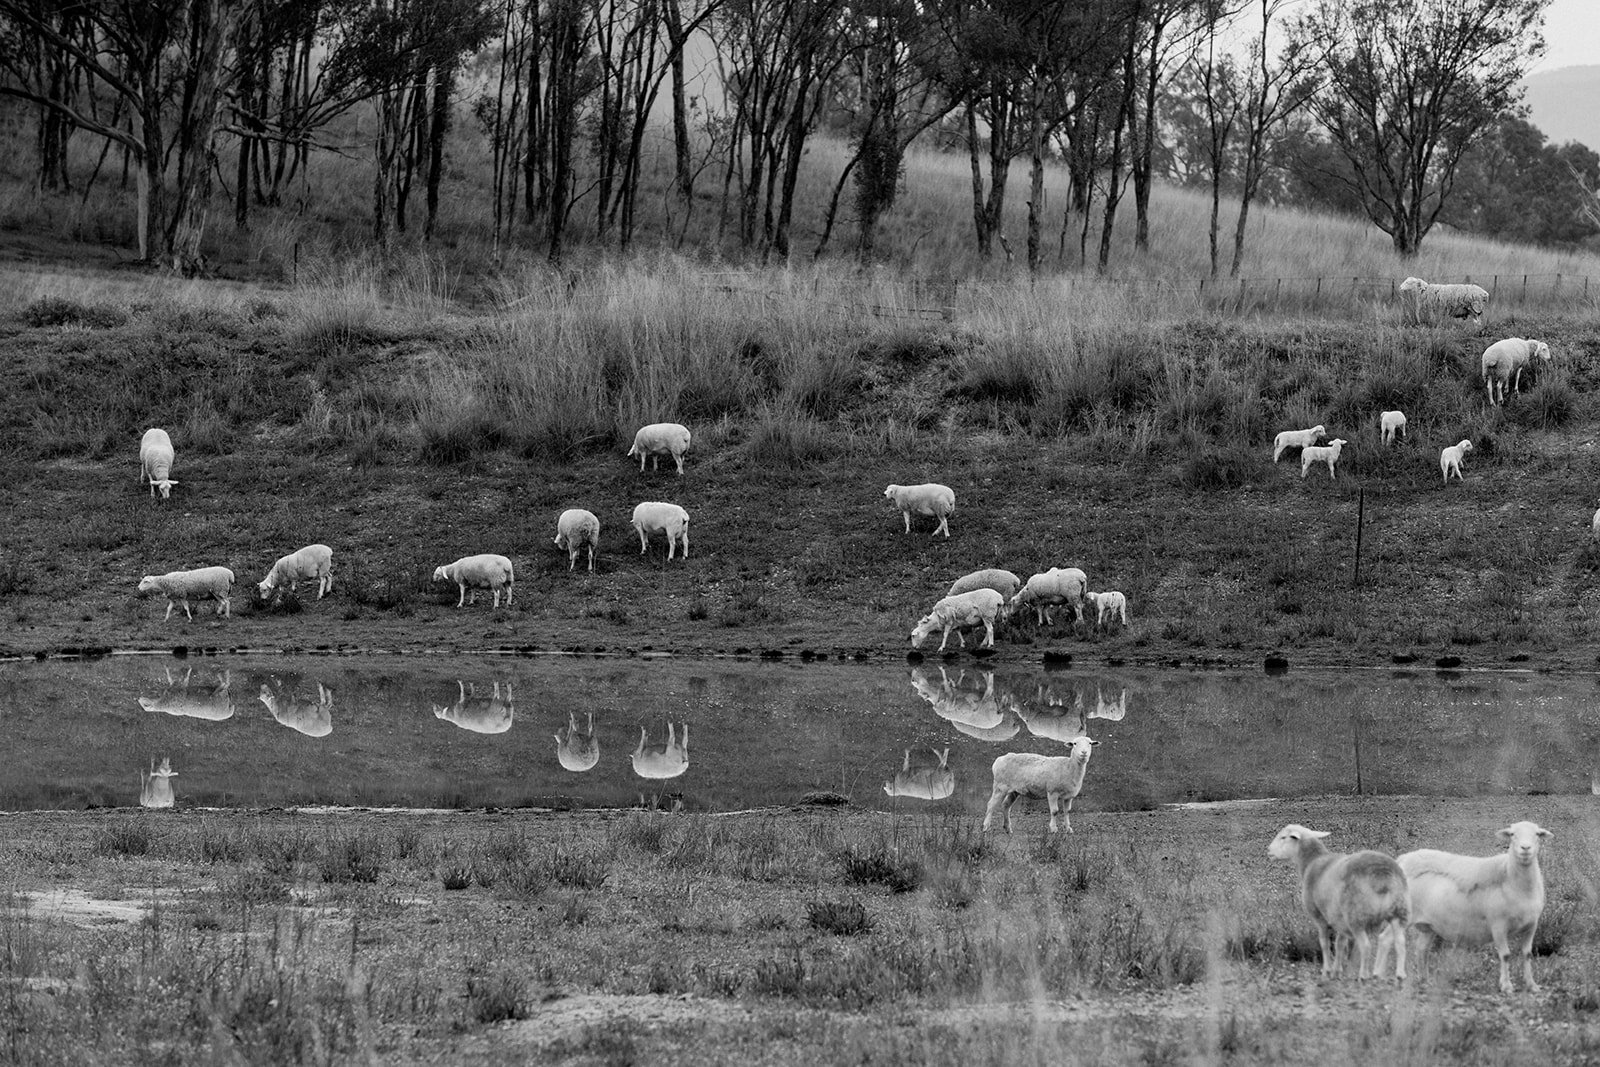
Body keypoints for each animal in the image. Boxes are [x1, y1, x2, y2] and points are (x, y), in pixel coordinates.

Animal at [1268, 824, 1410, 981]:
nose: (1268, 850)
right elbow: (1339, 945)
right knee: (1400, 942)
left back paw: (1363, 976)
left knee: (1366, 946)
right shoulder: (1339, 920)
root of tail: (1382, 875)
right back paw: (1400, 975)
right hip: (1399, 911)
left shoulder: (1320, 917)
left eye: (1283, 837)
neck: (1312, 861)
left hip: (1356, 916)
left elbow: (1324, 943)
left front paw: (1327, 971)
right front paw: (1338, 971)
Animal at [1375, 821, 1553, 994]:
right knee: (1386, 939)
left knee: (1421, 949)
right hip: (1403, 916)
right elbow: (1506, 955)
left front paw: (1532, 985)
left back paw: (1425, 981)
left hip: (1428, 925)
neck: (1511, 879)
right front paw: (1507, 986)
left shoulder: (1531, 925)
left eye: (1537, 834)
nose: (1525, 848)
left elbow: (1527, 954)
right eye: (1512, 834)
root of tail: (1403, 861)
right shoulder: (1498, 924)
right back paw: (1380, 976)